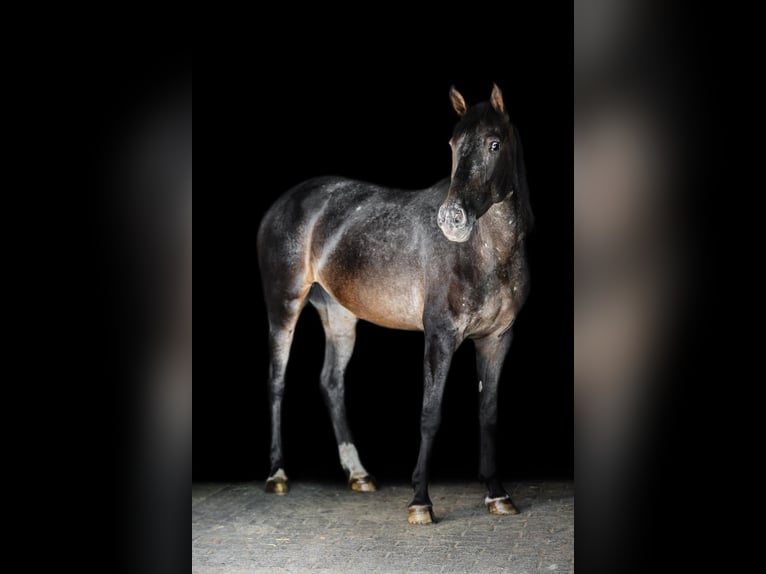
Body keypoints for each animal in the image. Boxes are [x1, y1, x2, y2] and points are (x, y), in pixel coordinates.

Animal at [258, 85, 536, 528]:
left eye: (495, 143)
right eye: (452, 144)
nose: (452, 218)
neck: (484, 254)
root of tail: (284, 203)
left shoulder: (497, 339)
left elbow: (488, 414)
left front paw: (497, 494)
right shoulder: (440, 335)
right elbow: (430, 413)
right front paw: (420, 501)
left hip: (339, 316)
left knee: (330, 382)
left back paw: (359, 474)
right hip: (283, 305)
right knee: (277, 381)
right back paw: (277, 475)